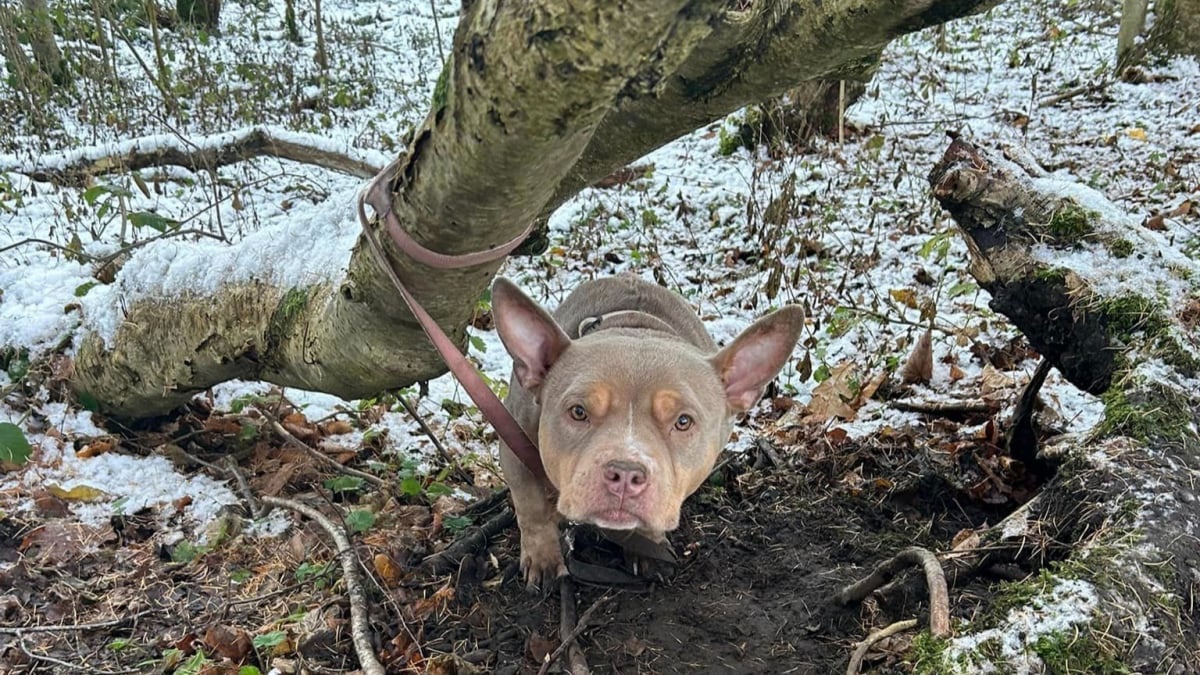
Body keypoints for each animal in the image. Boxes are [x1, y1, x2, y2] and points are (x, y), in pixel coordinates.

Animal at [492, 273, 801, 583]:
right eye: (578, 412)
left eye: (683, 421)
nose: (625, 474)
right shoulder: (512, 443)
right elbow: (531, 505)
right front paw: (543, 557)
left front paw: (647, 546)